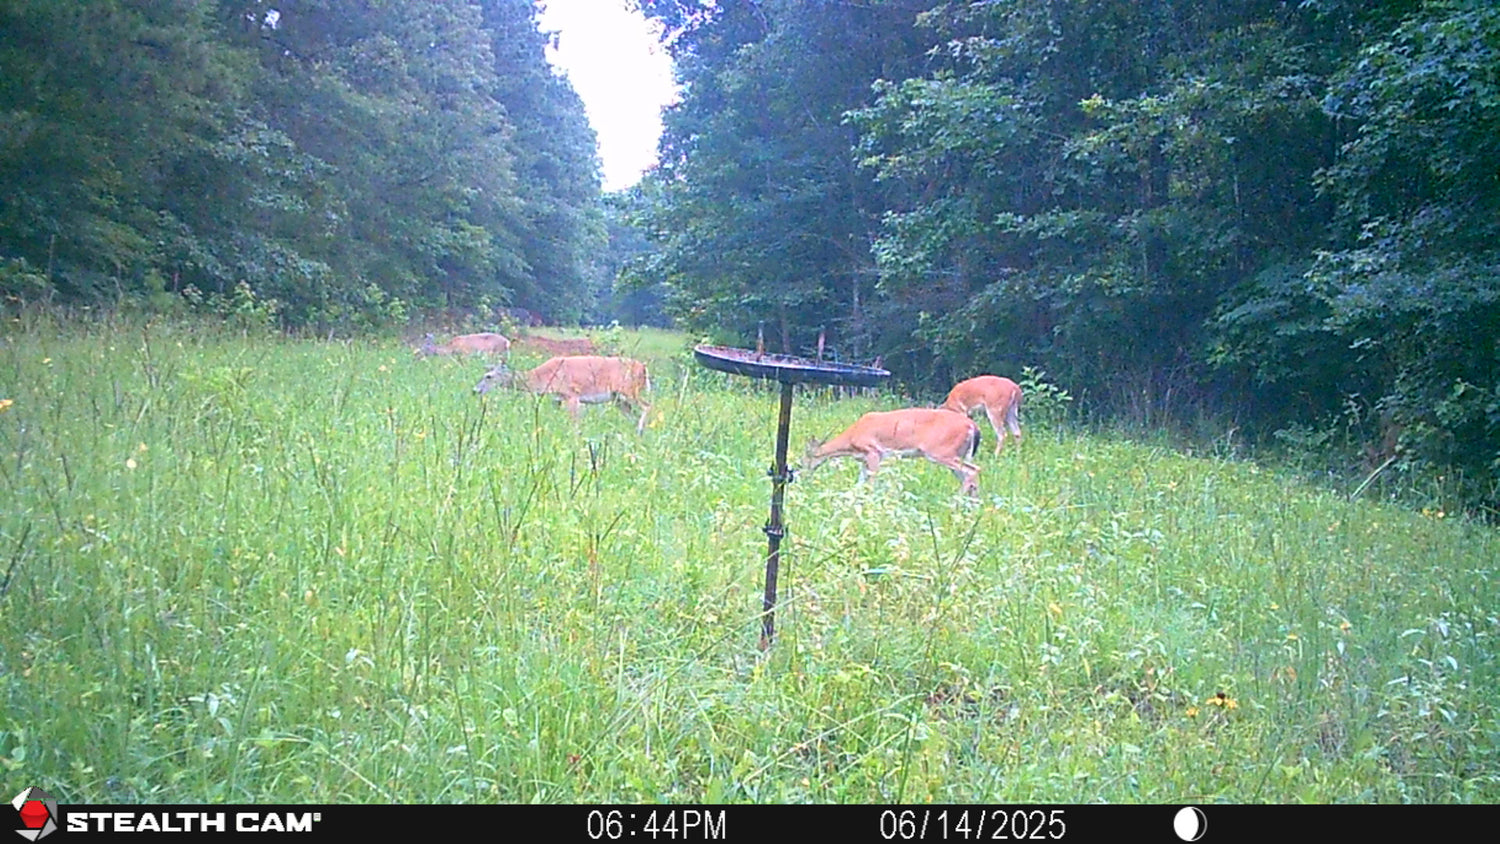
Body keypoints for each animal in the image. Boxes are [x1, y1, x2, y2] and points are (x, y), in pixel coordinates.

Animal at [474, 355, 651, 433]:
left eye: (488, 376)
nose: (475, 390)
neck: (543, 377)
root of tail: (643, 368)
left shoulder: (572, 394)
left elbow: (574, 422)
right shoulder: (557, 399)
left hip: (629, 390)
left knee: (647, 406)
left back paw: (640, 430)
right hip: (618, 398)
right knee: (633, 415)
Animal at [802, 408, 982, 495]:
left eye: (805, 457)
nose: (803, 472)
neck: (852, 436)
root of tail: (972, 426)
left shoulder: (874, 451)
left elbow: (871, 482)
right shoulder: (865, 459)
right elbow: (859, 483)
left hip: (940, 452)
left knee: (973, 470)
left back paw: (955, 502)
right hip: (958, 454)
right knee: (969, 477)